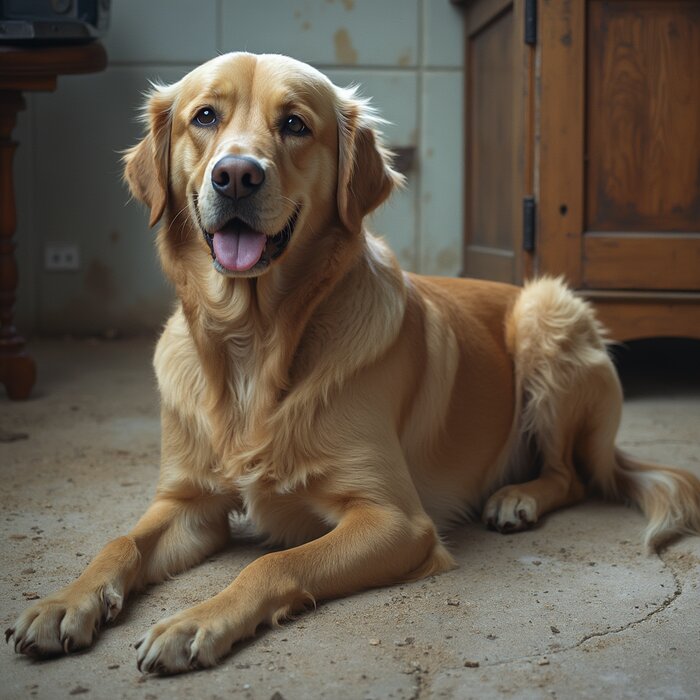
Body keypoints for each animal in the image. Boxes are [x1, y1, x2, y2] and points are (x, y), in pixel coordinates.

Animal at [6, 52, 700, 676]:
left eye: (294, 124)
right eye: (204, 116)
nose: (236, 175)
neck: (255, 341)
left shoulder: (396, 521)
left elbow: (273, 562)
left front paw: (193, 622)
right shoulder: (188, 503)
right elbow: (119, 540)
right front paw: (63, 604)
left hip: (547, 312)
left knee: (573, 475)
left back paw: (519, 498)